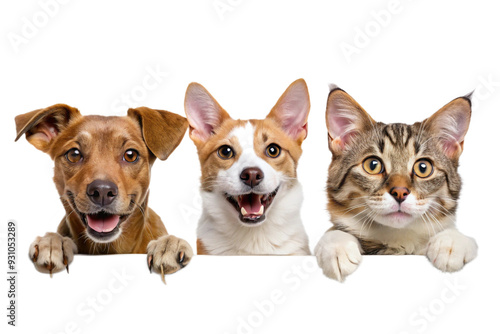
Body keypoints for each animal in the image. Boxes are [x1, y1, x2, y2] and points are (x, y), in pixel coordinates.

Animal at [316, 87, 476, 282]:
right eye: (373, 165)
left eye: (423, 168)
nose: (400, 192)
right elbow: (333, 232)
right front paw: (337, 245)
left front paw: (451, 242)